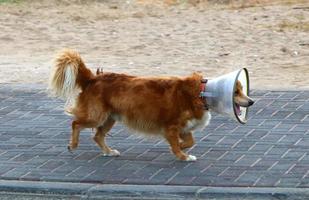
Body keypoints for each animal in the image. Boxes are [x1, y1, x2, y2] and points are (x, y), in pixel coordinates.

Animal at [49, 49, 254, 162]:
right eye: (236, 92)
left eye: (242, 90)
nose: (251, 102)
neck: (201, 92)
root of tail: (93, 79)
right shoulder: (171, 126)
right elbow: (177, 143)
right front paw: (182, 155)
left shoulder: (184, 128)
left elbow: (189, 141)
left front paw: (181, 147)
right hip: (97, 116)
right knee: (76, 124)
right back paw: (73, 145)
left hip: (110, 118)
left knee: (97, 136)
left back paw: (108, 151)